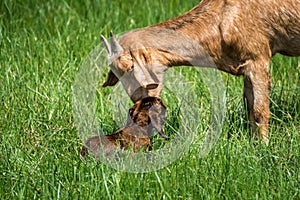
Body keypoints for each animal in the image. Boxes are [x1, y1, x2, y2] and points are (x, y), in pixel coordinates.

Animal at [101, 0, 300, 145]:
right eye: (116, 75)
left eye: (130, 68)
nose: (139, 104)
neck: (223, 18)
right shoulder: (246, 69)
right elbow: (250, 108)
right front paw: (253, 144)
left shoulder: (259, 57)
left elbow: (259, 110)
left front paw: (263, 148)